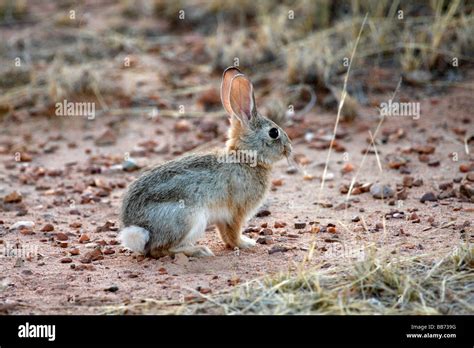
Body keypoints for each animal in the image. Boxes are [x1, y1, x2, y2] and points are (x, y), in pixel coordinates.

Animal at [118, 66, 292, 258]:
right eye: (274, 132)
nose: (289, 148)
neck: (245, 157)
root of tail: (140, 231)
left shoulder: (223, 217)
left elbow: (225, 235)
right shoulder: (236, 212)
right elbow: (233, 233)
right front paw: (245, 243)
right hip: (190, 218)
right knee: (160, 249)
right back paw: (199, 250)